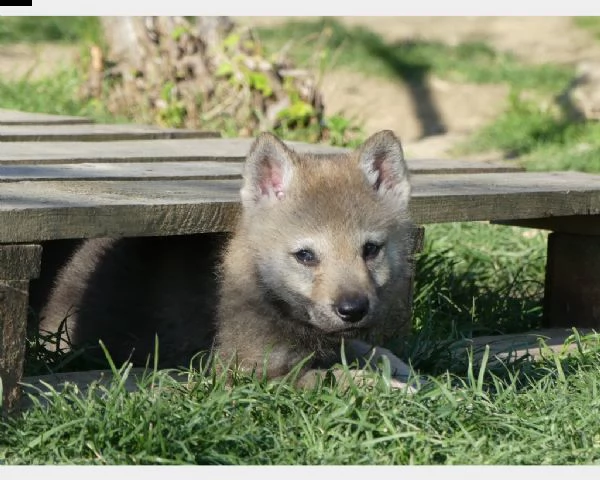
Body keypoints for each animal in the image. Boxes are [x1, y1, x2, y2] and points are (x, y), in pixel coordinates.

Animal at [41, 129, 418, 388]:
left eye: (370, 249)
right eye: (306, 256)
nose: (353, 309)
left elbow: (363, 348)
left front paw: (403, 369)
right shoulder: (247, 371)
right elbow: (332, 377)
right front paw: (385, 386)